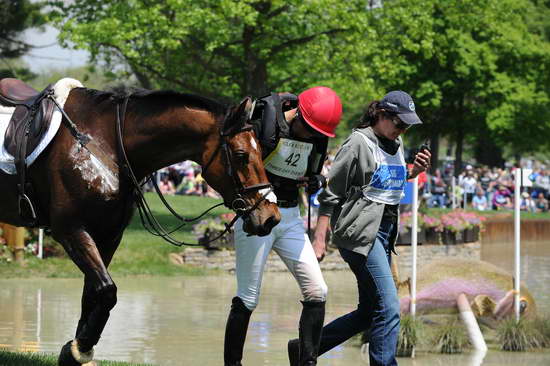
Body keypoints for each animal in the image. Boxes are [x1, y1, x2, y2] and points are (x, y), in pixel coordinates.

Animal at [0, 81, 280, 366]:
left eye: (262, 151)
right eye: (241, 155)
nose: (271, 217)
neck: (103, 143)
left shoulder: (109, 235)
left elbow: (92, 294)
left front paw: (76, 350)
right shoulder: (71, 230)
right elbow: (107, 291)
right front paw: (80, 348)